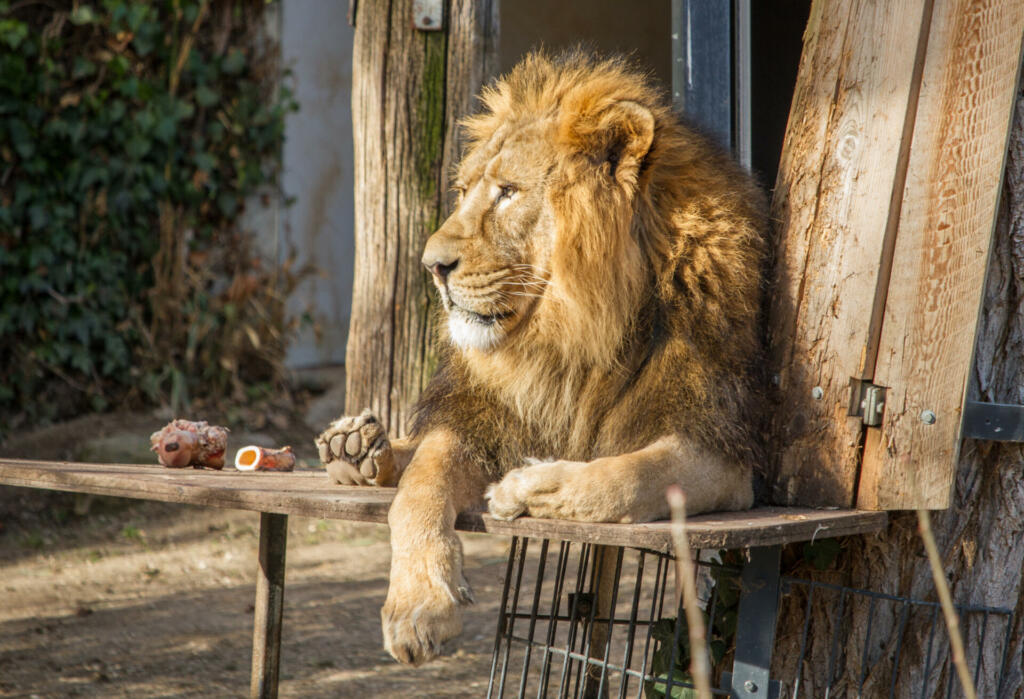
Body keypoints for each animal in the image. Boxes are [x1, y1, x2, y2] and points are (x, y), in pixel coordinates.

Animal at [315, 50, 765, 667]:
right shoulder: (480, 421)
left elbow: (633, 475)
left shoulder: (723, 451)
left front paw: (526, 488)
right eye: (463, 191)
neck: (570, 336)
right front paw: (419, 606)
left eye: (508, 192)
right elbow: (418, 491)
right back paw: (356, 448)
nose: (431, 266)